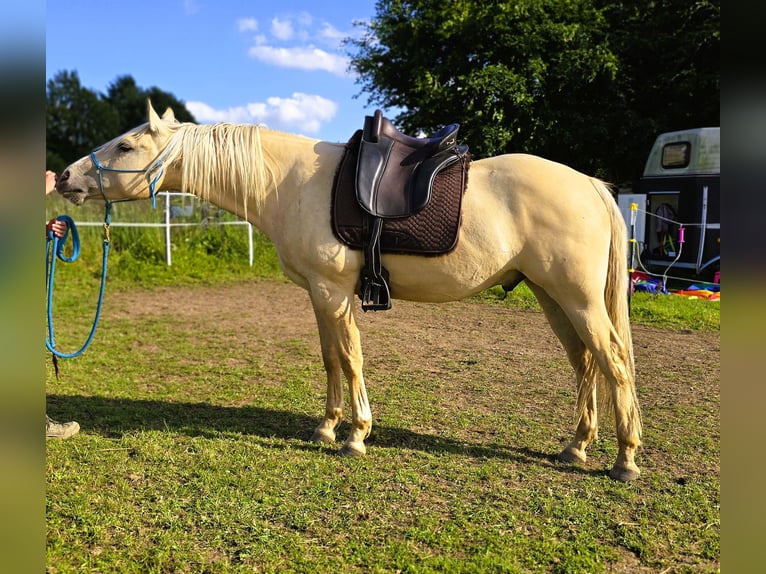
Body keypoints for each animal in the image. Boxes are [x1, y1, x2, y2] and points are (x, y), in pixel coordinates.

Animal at [56, 102, 642, 481]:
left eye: (126, 144)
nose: (63, 177)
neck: (290, 183)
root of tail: (590, 185)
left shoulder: (334, 292)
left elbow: (351, 357)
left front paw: (357, 434)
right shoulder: (318, 294)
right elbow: (331, 358)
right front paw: (327, 427)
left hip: (578, 299)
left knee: (612, 360)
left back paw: (625, 460)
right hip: (551, 295)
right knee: (585, 362)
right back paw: (576, 447)